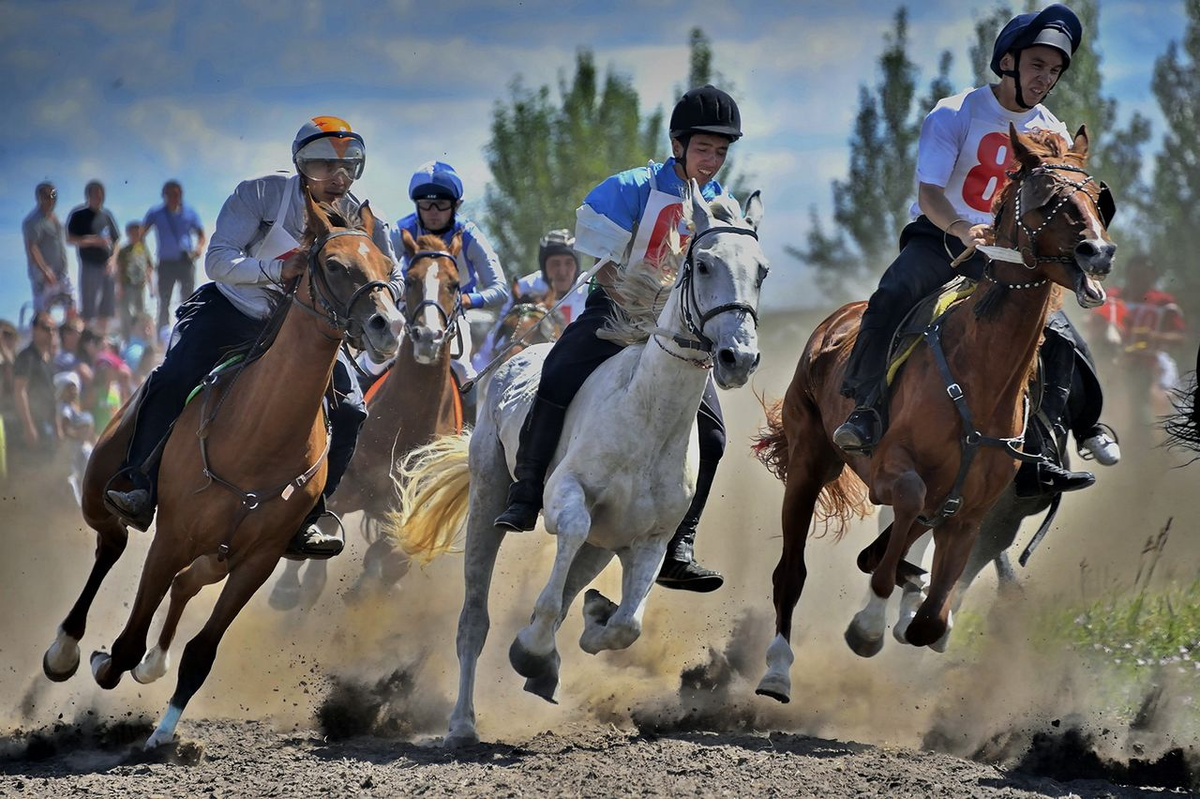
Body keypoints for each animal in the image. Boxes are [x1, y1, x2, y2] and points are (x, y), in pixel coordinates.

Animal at [42, 188, 400, 748]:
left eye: (387, 265)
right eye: (335, 265)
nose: (391, 326)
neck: (258, 435)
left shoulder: (260, 560)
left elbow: (200, 654)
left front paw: (164, 735)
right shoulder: (171, 538)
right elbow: (126, 641)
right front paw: (105, 663)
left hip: (220, 554)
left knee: (186, 583)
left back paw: (153, 663)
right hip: (99, 489)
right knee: (112, 543)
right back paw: (65, 650)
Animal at [270, 226, 465, 607]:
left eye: (453, 283)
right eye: (412, 281)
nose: (427, 337)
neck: (407, 421)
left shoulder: (405, 509)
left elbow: (385, 558)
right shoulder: (346, 490)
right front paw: (291, 589)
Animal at [384, 183, 763, 743]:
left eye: (762, 270)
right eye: (703, 264)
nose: (739, 357)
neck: (646, 415)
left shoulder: (648, 543)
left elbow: (625, 625)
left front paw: (588, 624)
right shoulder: (567, 500)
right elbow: (553, 589)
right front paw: (533, 649)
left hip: (600, 550)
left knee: (571, 594)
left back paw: (551, 658)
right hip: (488, 499)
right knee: (475, 617)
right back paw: (463, 722)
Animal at [748, 125, 1113, 705]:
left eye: (1097, 198)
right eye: (1045, 196)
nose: (1097, 251)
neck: (980, 377)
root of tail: (831, 325)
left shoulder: (973, 513)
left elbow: (932, 616)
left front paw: (910, 612)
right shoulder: (892, 472)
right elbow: (901, 520)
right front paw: (869, 626)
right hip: (810, 462)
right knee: (792, 572)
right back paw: (778, 670)